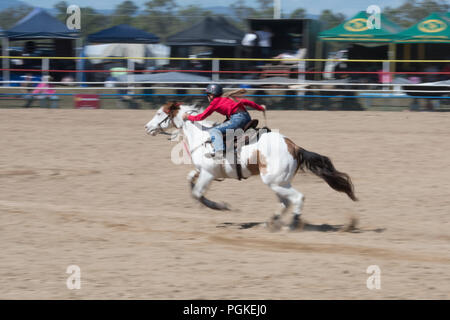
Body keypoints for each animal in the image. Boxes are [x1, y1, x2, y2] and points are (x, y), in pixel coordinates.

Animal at [143, 101, 356, 229]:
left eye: (159, 113)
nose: (147, 127)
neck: (202, 136)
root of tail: (294, 147)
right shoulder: (202, 171)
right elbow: (190, 182)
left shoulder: (208, 174)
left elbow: (197, 193)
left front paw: (221, 207)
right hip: (279, 182)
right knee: (286, 202)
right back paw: (271, 222)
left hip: (274, 181)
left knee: (298, 198)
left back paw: (292, 224)